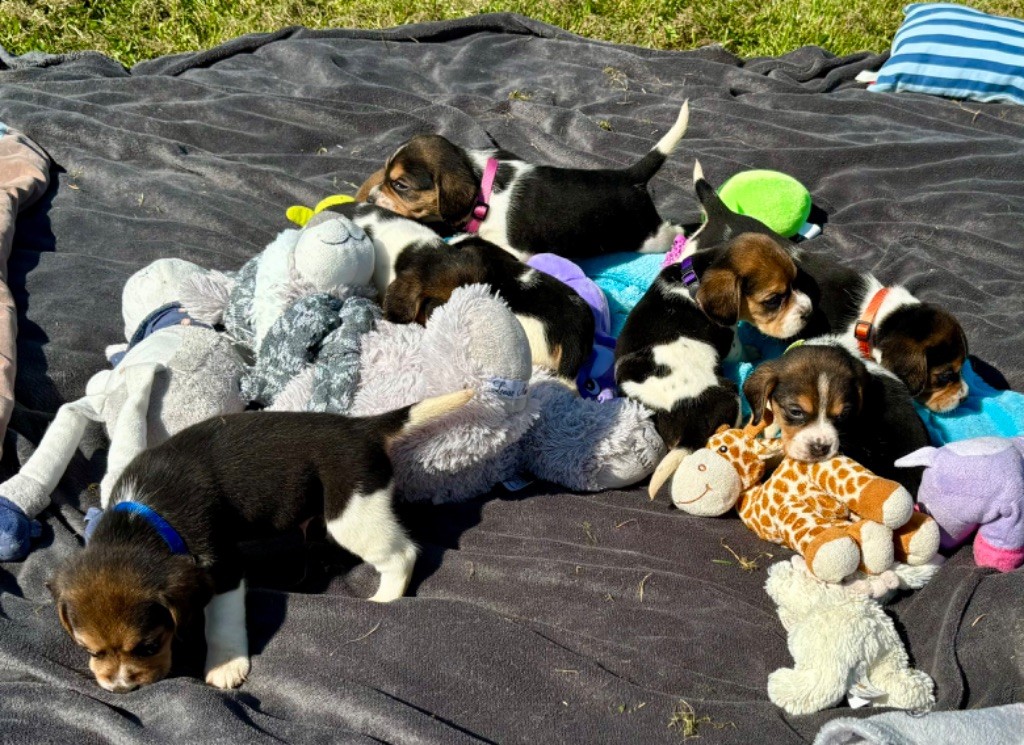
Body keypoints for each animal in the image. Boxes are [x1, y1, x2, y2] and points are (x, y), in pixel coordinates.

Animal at [44, 390, 468, 691]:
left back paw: (385, 600)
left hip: (352, 512)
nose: (119, 689)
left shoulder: (224, 570)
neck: (143, 517)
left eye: (148, 646)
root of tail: (363, 428)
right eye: (89, 650)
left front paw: (224, 665)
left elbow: (222, 623)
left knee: (402, 554)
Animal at [356, 101, 692, 258]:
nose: (370, 197)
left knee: (674, 232)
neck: (484, 192)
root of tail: (630, 174)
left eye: (400, 185)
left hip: (650, 236)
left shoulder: (514, 249)